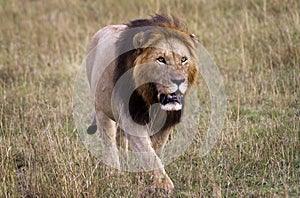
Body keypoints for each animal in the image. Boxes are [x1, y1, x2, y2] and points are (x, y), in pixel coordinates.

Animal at [86, 14, 199, 193]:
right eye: (161, 59)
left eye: (183, 59)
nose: (179, 80)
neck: (154, 101)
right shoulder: (133, 119)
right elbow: (148, 152)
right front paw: (164, 185)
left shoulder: (166, 123)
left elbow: (155, 149)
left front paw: (146, 179)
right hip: (101, 109)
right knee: (109, 141)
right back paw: (114, 174)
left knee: (120, 139)